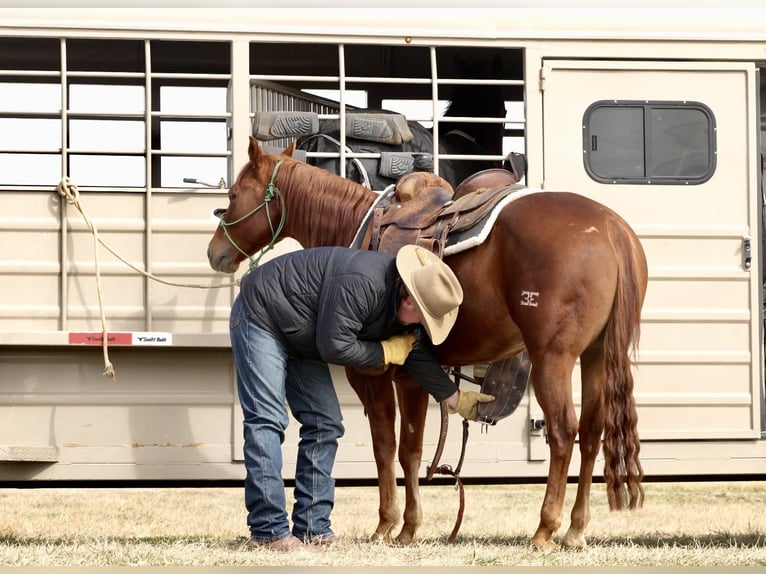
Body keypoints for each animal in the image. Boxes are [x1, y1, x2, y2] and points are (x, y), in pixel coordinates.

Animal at [208, 137, 648, 552]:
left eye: (234, 194)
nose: (215, 252)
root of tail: (612, 229)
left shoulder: (382, 377)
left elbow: (395, 448)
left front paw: (395, 526)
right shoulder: (411, 377)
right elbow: (408, 450)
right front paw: (402, 525)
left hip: (552, 358)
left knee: (562, 431)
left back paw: (545, 528)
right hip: (594, 356)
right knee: (591, 432)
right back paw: (575, 528)